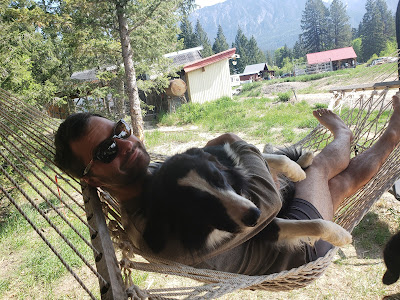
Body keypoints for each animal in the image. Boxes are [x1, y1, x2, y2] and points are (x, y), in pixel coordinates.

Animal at [142, 142, 352, 253]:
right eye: (199, 207)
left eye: (219, 179)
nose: (256, 215)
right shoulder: (260, 229)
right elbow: (313, 223)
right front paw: (341, 235)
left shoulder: (226, 156)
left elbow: (266, 156)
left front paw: (296, 170)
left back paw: (303, 161)